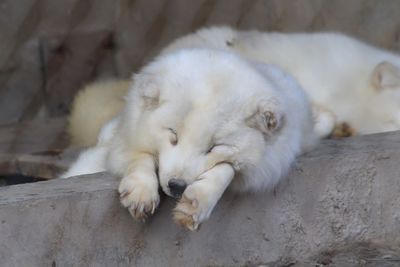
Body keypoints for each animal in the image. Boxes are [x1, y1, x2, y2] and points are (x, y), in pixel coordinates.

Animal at [62, 48, 318, 230]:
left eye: (214, 147)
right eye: (173, 134)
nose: (177, 186)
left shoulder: (265, 166)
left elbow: (227, 169)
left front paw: (196, 203)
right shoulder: (123, 142)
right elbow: (141, 158)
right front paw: (141, 192)